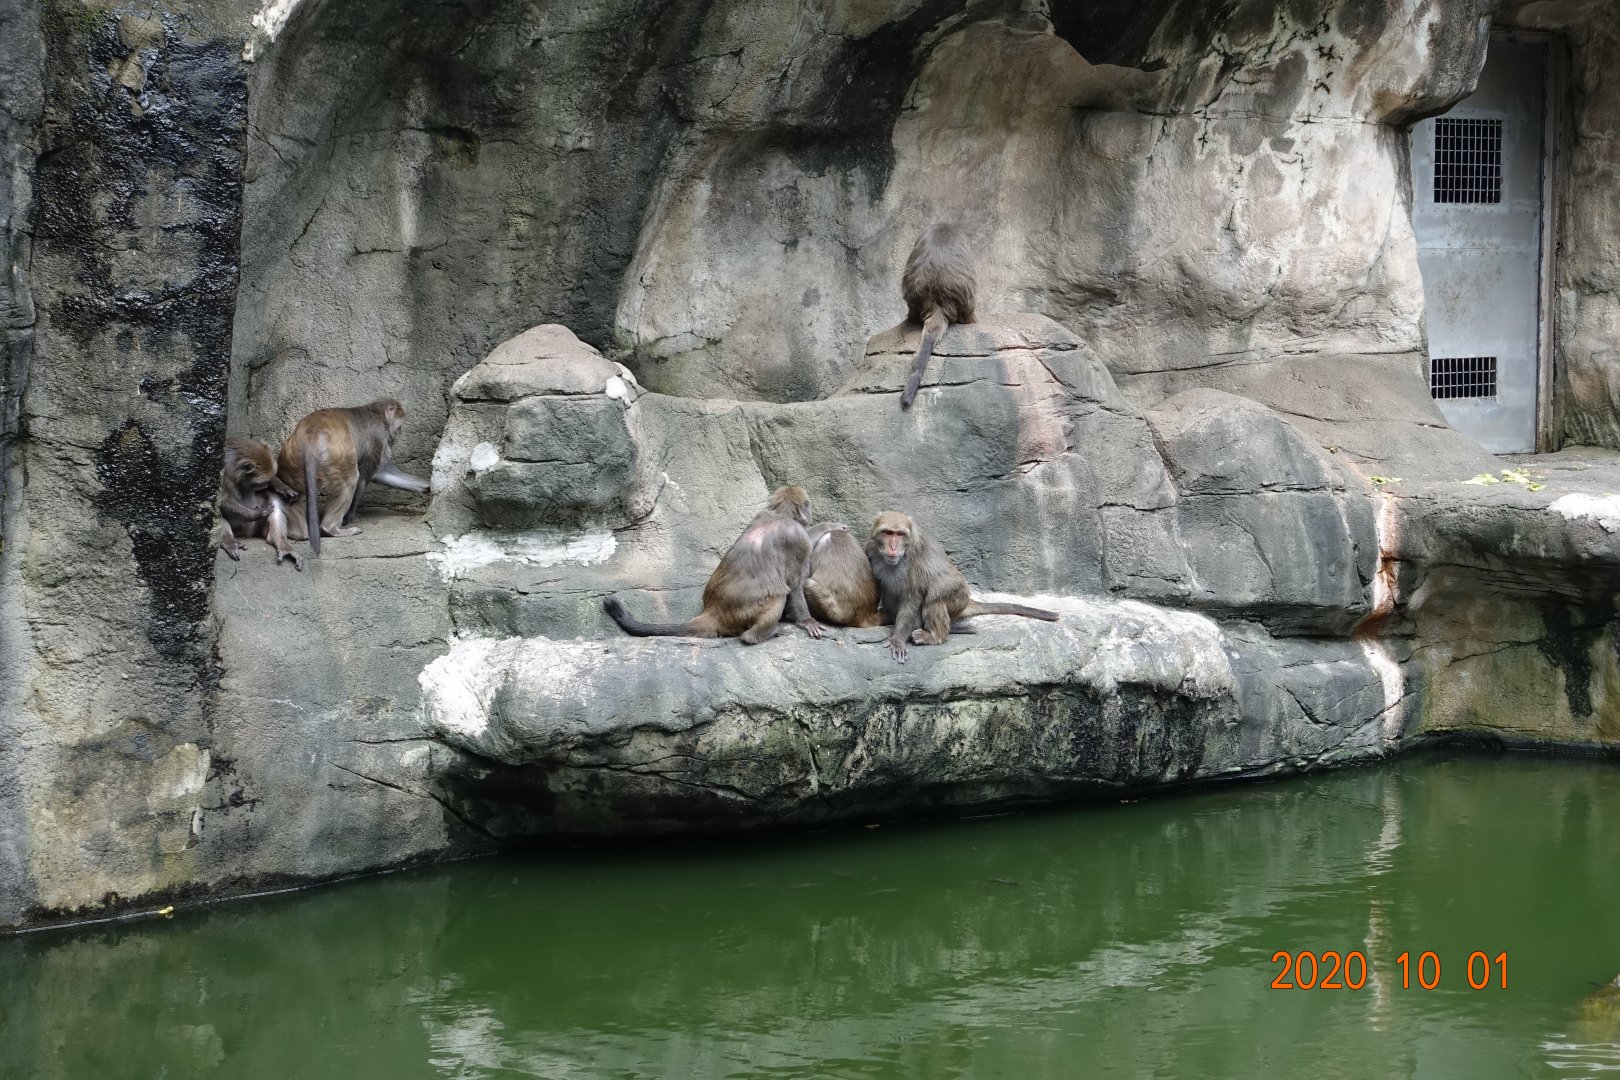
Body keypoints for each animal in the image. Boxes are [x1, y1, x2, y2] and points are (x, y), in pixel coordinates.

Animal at [217, 437, 304, 570]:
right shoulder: (224, 473)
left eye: (265, 481)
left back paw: (281, 543)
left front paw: (282, 486)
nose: (266, 485)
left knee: (274, 502)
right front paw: (257, 513)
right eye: (259, 483)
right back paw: (228, 541)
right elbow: (223, 501)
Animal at [276, 398, 430, 556]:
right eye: (399, 427)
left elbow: (380, 473)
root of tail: (312, 433)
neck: (379, 413)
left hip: (291, 458)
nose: (398, 434)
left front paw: (428, 487)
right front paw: (349, 517)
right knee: (350, 480)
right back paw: (331, 529)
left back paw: (297, 533)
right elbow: (364, 477)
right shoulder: (379, 437)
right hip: (337, 456)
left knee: (298, 494)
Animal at [603, 486, 826, 644]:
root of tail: (714, 612)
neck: (780, 514)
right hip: (745, 613)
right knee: (778, 595)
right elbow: (794, 585)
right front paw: (806, 621)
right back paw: (758, 635)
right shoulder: (799, 539)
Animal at [866, 510, 1057, 662]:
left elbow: (913, 597)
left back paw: (936, 636)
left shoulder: (913, 562)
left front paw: (898, 639)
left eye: (900, 534)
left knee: (936, 594)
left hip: (959, 598)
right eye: (888, 533)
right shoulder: (870, 548)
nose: (893, 547)